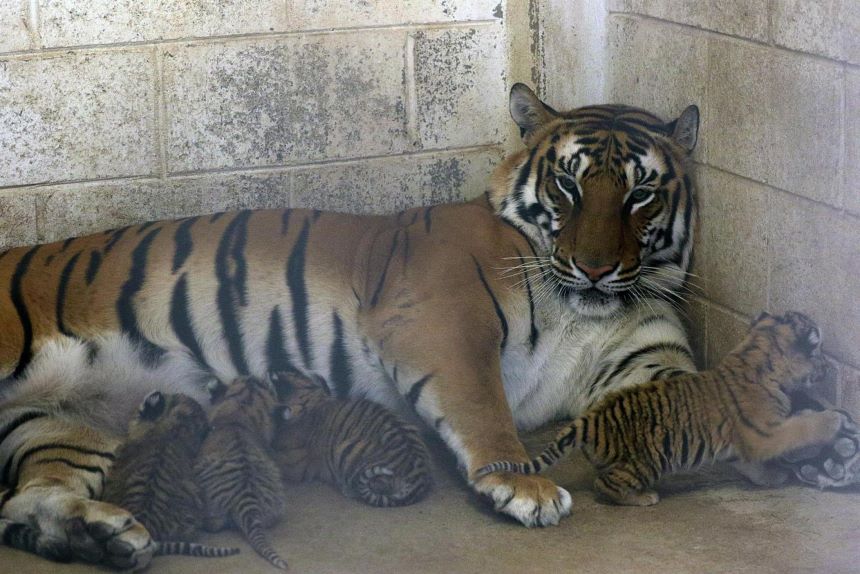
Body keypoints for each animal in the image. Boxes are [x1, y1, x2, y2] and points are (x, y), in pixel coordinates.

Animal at [0, 83, 848, 568]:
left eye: (640, 196)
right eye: (570, 186)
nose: (597, 267)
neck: (585, 306)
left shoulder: (645, 366)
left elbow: (718, 403)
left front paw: (829, 450)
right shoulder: (444, 317)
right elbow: (482, 405)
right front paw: (523, 485)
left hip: (60, 426)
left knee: (26, 506)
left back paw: (100, 536)